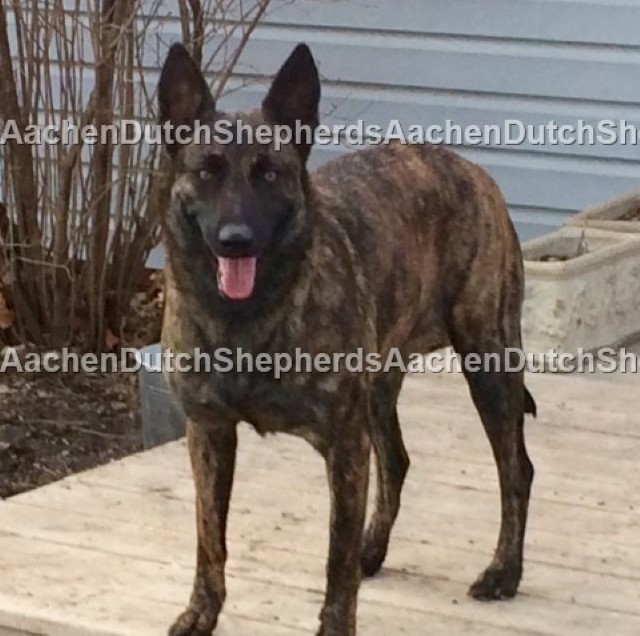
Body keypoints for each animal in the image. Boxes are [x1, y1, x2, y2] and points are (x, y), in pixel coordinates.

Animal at [159, 42, 536, 632]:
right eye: (207, 171)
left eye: (270, 174)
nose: (235, 240)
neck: (247, 317)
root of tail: (470, 168)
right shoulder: (209, 433)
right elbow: (209, 536)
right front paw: (202, 610)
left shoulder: (344, 445)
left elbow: (335, 559)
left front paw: (335, 622)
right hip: (381, 384)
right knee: (398, 461)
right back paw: (373, 549)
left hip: (489, 365)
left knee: (515, 469)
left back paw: (504, 572)